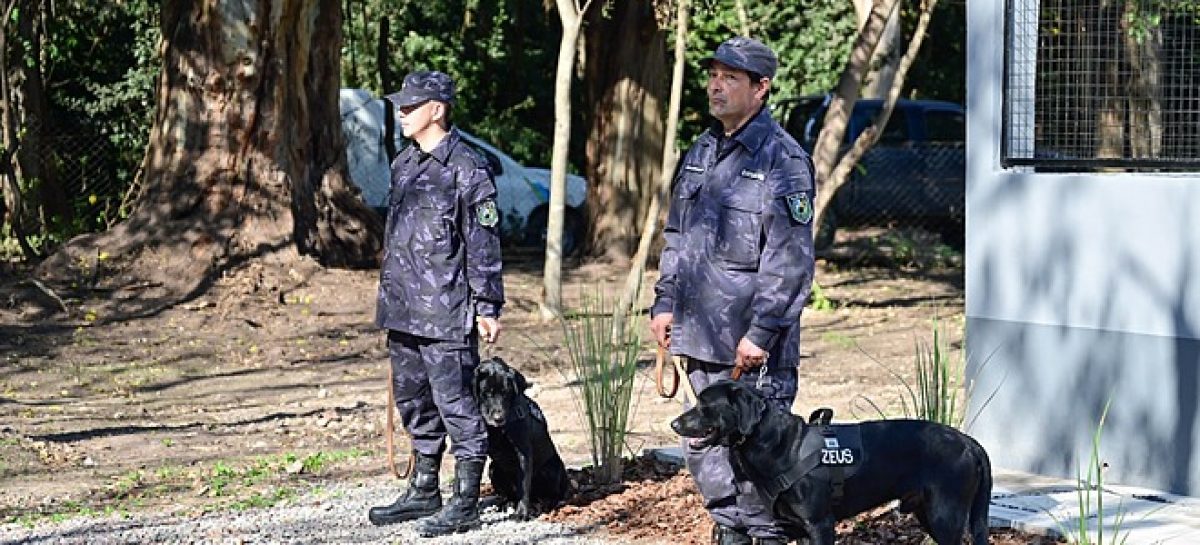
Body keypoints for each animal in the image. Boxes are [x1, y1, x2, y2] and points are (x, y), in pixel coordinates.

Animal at [472, 357, 571, 518]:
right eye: (486, 393)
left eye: (506, 393)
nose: (498, 419)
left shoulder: (523, 453)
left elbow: (524, 486)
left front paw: (521, 513)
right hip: (494, 469)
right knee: (510, 494)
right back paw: (507, 503)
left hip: (551, 469)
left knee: (549, 495)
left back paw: (543, 504)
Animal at [672, 381, 988, 542]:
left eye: (704, 406)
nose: (674, 423)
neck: (780, 445)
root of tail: (969, 442)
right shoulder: (797, 528)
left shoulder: (819, 523)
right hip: (928, 512)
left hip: (945, 515)